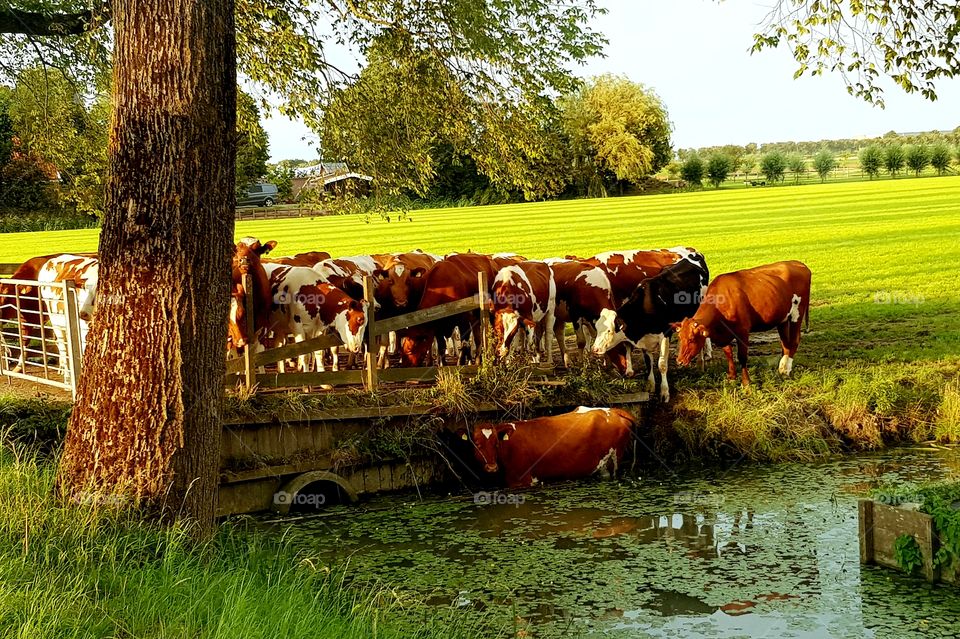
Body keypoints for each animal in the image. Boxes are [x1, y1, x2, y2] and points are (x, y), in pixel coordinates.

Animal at [467, 406, 637, 488]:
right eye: (477, 444)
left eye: (495, 443)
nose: (492, 467)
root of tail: (613, 410)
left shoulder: (522, 480)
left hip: (614, 460)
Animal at [598, 254, 710, 402]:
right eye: (597, 327)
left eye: (609, 330)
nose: (594, 349)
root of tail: (695, 255)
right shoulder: (645, 339)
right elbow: (648, 363)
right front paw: (650, 386)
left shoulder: (665, 335)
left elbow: (661, 365)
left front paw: (664, 392)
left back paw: (700, 363)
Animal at [673, 260, 811, 386]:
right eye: (680, 337)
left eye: (691, 339)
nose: (679, 361)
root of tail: (799, 264)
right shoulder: (724, 333)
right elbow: (728, 353)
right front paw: (732, 377)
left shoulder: (743, 331)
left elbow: (742, 357)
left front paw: (746, 383)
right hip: (782, 318)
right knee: (785, 343)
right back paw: (781, 367)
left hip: (796, 314)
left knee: (794, 341)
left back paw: (786, 369)